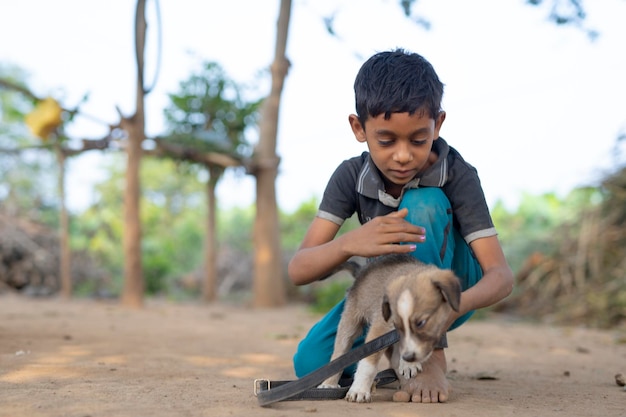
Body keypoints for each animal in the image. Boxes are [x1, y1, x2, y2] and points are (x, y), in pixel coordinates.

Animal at [316, 252, 458, 402]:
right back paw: (329, 384)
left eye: (422, 323)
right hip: (350, 321)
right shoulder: (380, 327)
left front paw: (408, 364)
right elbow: (368, 363)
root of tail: (361, 271)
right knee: (339, 354)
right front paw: (359, 390)